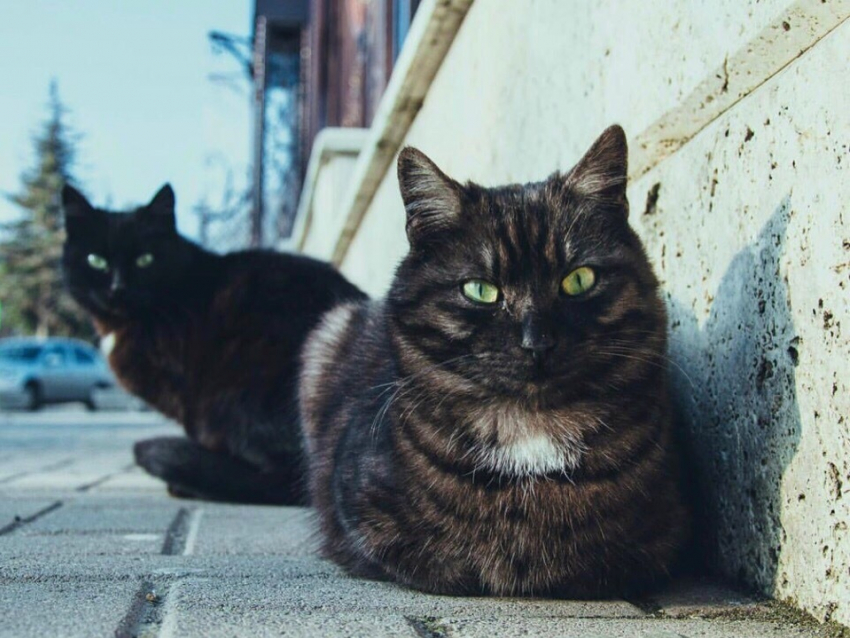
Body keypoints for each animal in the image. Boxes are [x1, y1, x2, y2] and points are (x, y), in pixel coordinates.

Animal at [298, 126, 688, 600]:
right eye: (481, 290)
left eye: (578, 279)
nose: (537, 342)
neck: (530, 431)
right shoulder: (360, 521)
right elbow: (440, 562)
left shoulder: (662, 537)